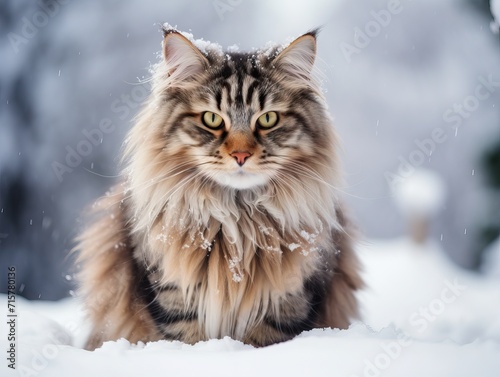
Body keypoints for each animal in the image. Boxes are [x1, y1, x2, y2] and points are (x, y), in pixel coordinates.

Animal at [76, 25, 362, 350]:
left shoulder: (291, 293)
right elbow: (188, 338)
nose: (241, 155)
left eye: (268, 119)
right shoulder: (170, 288)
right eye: (212, 119)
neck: (238, 218)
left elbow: (264, 339)